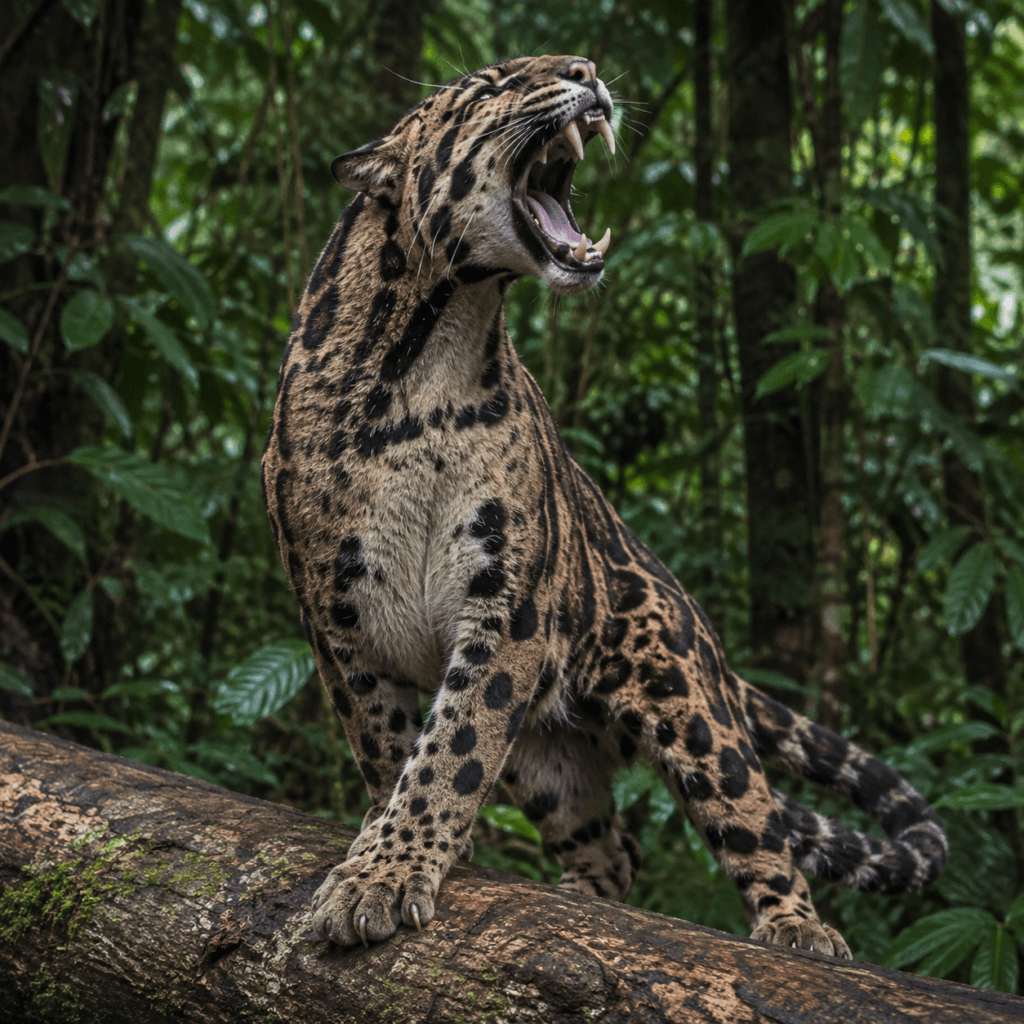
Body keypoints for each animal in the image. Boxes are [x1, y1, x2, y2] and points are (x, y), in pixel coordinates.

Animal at [261, 54, 947, 957]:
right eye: (491, 85)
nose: (584, 69)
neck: (431, 352)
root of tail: (704, 629)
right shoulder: (331, 609)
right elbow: (386, 741)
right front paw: (388, 842)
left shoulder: (507, 607)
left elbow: (453, 749)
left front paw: (388, 872)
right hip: (550, 763)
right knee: (613, 845)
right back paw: (583, 902)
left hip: (690, 707)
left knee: (755, 824)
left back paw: (799, 930)